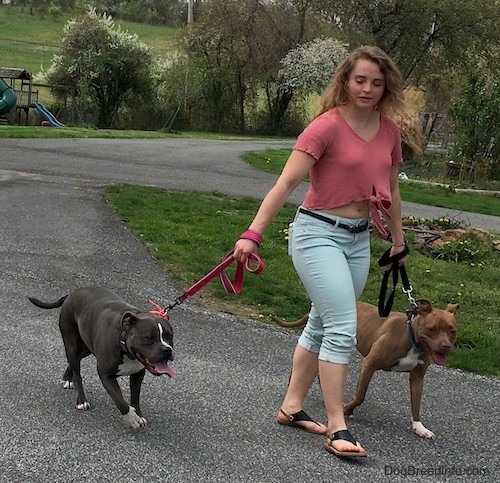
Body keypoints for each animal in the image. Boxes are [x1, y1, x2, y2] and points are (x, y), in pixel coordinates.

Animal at [28, 286, 176, 430]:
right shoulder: (106, 376)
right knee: (77, 373)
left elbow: (135, 396)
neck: (124, 343)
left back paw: (67, 378)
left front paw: (138, 415)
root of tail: (72, 293)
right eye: (149, 337)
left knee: (75, 360)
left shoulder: (138, 374)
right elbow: (120, 400)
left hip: (87, 346)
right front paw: (131, 418)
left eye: (170, 336)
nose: (167, 350)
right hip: (71, 343)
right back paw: (81, 400)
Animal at [272, 300, 458, 440]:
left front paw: (420, 428)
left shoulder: (417, 378)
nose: (445, 347)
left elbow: (416, 404)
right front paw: (347, 409)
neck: (411, 337)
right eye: (431, 329)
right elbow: (360, 396)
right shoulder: (369, 364)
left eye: (453, 331)